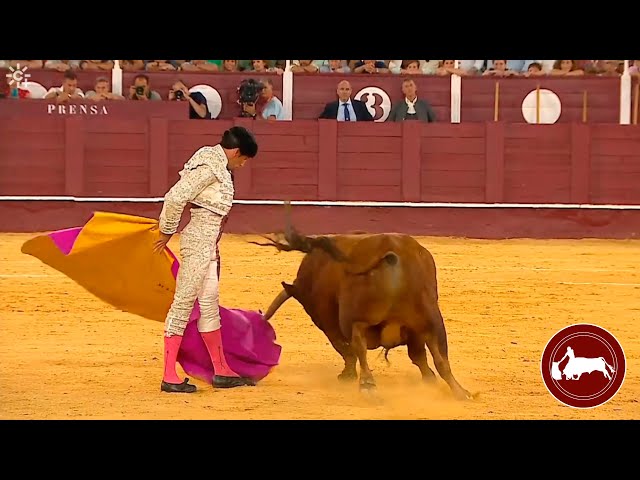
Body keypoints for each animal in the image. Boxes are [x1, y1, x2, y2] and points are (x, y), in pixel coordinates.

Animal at [252, 204, 473, 401]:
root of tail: (393, 252)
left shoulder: (328, 320)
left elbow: (345, 348)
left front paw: (348, 375)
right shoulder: (416, 331)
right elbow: (420, 357)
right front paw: (430, 380)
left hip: (356, 316)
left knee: (359, 344)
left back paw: (368, 386)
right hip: (431, 318)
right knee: (441, 357)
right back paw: (460, 392)